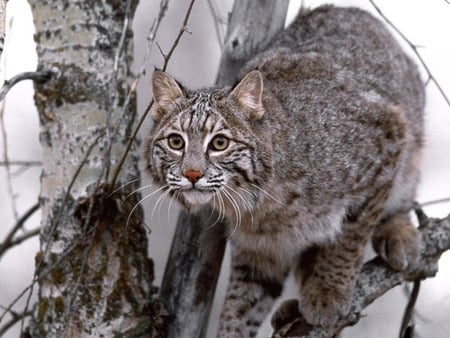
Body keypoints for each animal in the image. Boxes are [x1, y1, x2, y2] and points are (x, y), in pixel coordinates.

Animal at [145, 5, 426, 338]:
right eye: (176, 142)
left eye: (220, 143)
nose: (191, 174)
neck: (259, 200)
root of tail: (347, 8)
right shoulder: (259, 250)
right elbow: (241, 304)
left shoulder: (387, 134)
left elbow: (350, 236)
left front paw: (329, 292)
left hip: (410, 132)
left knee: (404, 190)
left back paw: (399, 235)